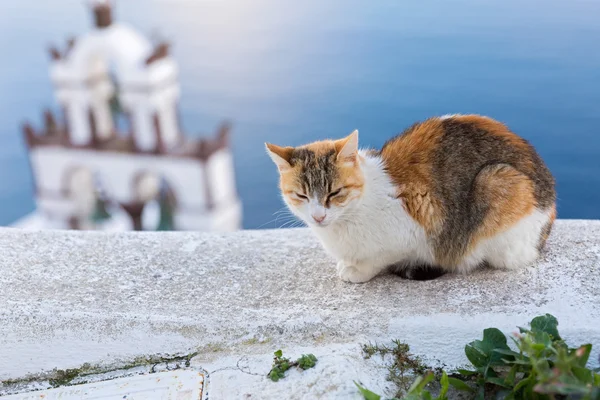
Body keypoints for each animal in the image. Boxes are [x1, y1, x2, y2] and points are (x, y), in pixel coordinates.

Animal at [264, 115, 556, 284]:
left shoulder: (417, 224)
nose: (318, 216)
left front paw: (357, 271)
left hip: (497, 181)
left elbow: (378, 258)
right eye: (301, 195)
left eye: (334, 193)